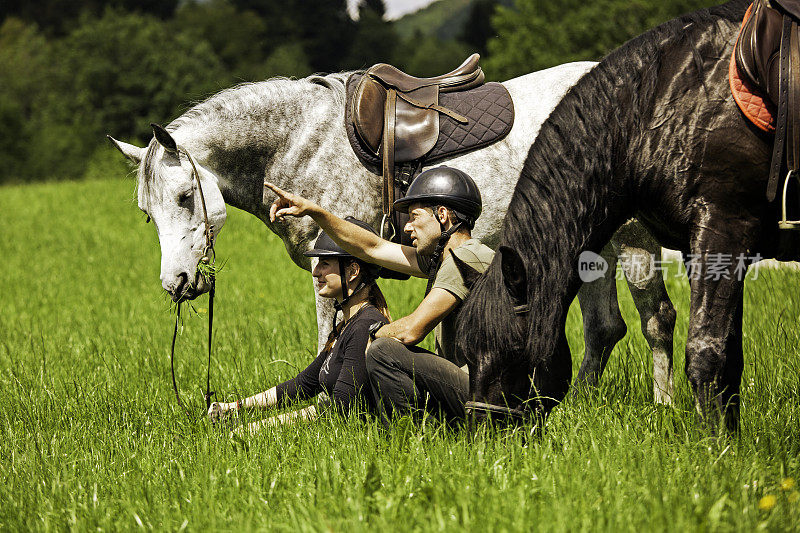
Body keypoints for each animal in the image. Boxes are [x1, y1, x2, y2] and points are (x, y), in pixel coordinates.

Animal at [109, 63, 680, 400]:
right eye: (147, 213)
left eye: (185, 197)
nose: (177, 283)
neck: (298, 140)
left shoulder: (327, 266)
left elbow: (329, 340)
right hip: (589, 246)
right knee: (604, 328)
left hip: (633, 239)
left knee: (657, 321)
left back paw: (665, 407)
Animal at [456, 0, 800, 430]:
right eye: (466, 352)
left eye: (513, 350)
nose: (480, 432)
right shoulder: (702, 245)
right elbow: (728, 357)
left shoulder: (725, 228)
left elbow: (706, 352)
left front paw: (716, 443)